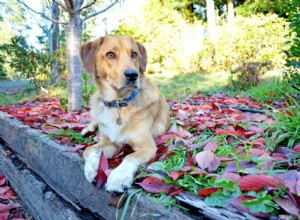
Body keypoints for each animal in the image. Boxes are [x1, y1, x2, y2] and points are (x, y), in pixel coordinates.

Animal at [79, 35, 169, 193]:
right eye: (110, 55)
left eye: (134, 54)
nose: (132, 75)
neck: (119, 104)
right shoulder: (109, 142)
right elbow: (88, 149)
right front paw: (91, 167)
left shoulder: (148, 146)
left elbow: (131, 157)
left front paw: (119, 177)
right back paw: (87, 130)